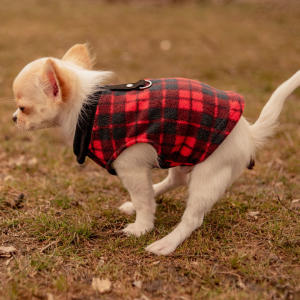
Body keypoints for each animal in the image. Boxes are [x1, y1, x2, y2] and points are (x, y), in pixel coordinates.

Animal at [12, 45, 300, 255]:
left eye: (23, 108)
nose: (14, 119)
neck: (88, 108)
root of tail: (248, 134)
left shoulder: (130, 167)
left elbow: (143, 200)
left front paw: (142, 228)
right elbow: (145, 197)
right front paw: (140, 213)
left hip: (209, 174)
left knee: (193, 218)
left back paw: (166, 244)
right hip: (182, 154)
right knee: (175, 181)